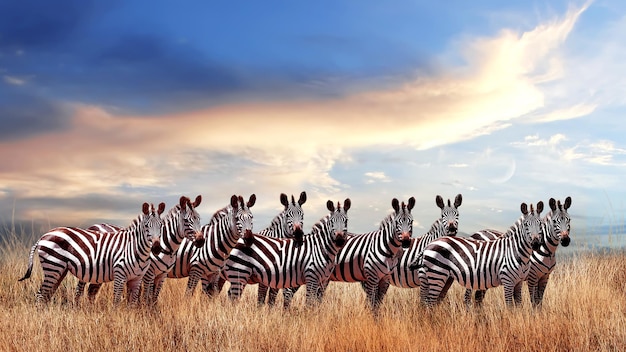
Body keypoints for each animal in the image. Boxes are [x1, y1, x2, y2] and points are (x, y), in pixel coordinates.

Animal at [19, 201, 165, 306]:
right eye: (146, 226)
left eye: (161, 225)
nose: (156, 248)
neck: (135, 249)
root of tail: (43, 236)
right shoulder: (120, 274)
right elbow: (116, 302)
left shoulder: (137, 278)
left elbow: (132, 305)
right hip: (53, 266)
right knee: (40, 295)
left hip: (59, 270)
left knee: (47, 295)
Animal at [74, 195, 204, 306]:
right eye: (186, 221)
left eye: (199, 219)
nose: (201, 241)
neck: (167, 247)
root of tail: (93, 226)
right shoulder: (148, 274)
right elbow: (147, 296)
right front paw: (144, 311)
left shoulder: (162, 275)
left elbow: (154, 297)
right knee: (80, 288)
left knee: (91, 291)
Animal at [223, 199, 352, 306]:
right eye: (332, 222)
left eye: (346, 221)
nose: (340, 241)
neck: (321, 247)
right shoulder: (311, 277)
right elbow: (309, 303)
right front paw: (309, 318)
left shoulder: (323, 280)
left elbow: (316, 302)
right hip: (239, 272)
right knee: (233, 297)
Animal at [410, 202, 540, 306]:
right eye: (526, 225)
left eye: (540, 225)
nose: (536, 244)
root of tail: (428, 245)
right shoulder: (510, 280)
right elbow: (514, 305)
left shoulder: (519, 281)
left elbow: (521, 305)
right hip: (438, 274)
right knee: (431, 302)